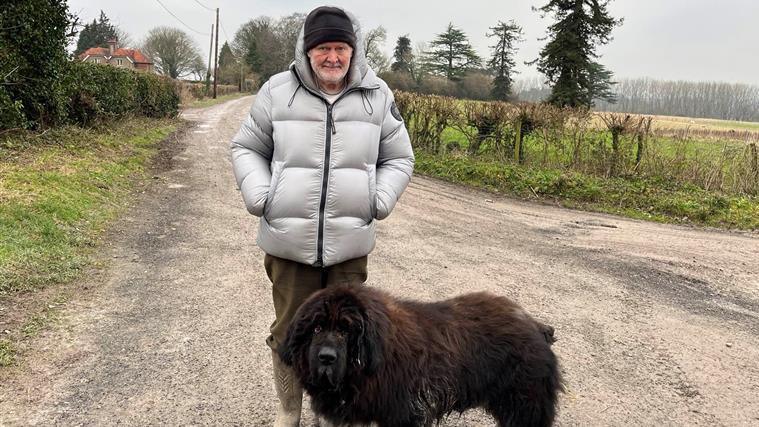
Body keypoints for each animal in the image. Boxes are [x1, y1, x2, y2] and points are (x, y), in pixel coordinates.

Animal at [280, 286, 564, 426]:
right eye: (316, 328)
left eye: (345, 331)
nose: (326, 357)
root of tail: (535, 325)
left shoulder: (405, 413)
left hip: (525, 406)